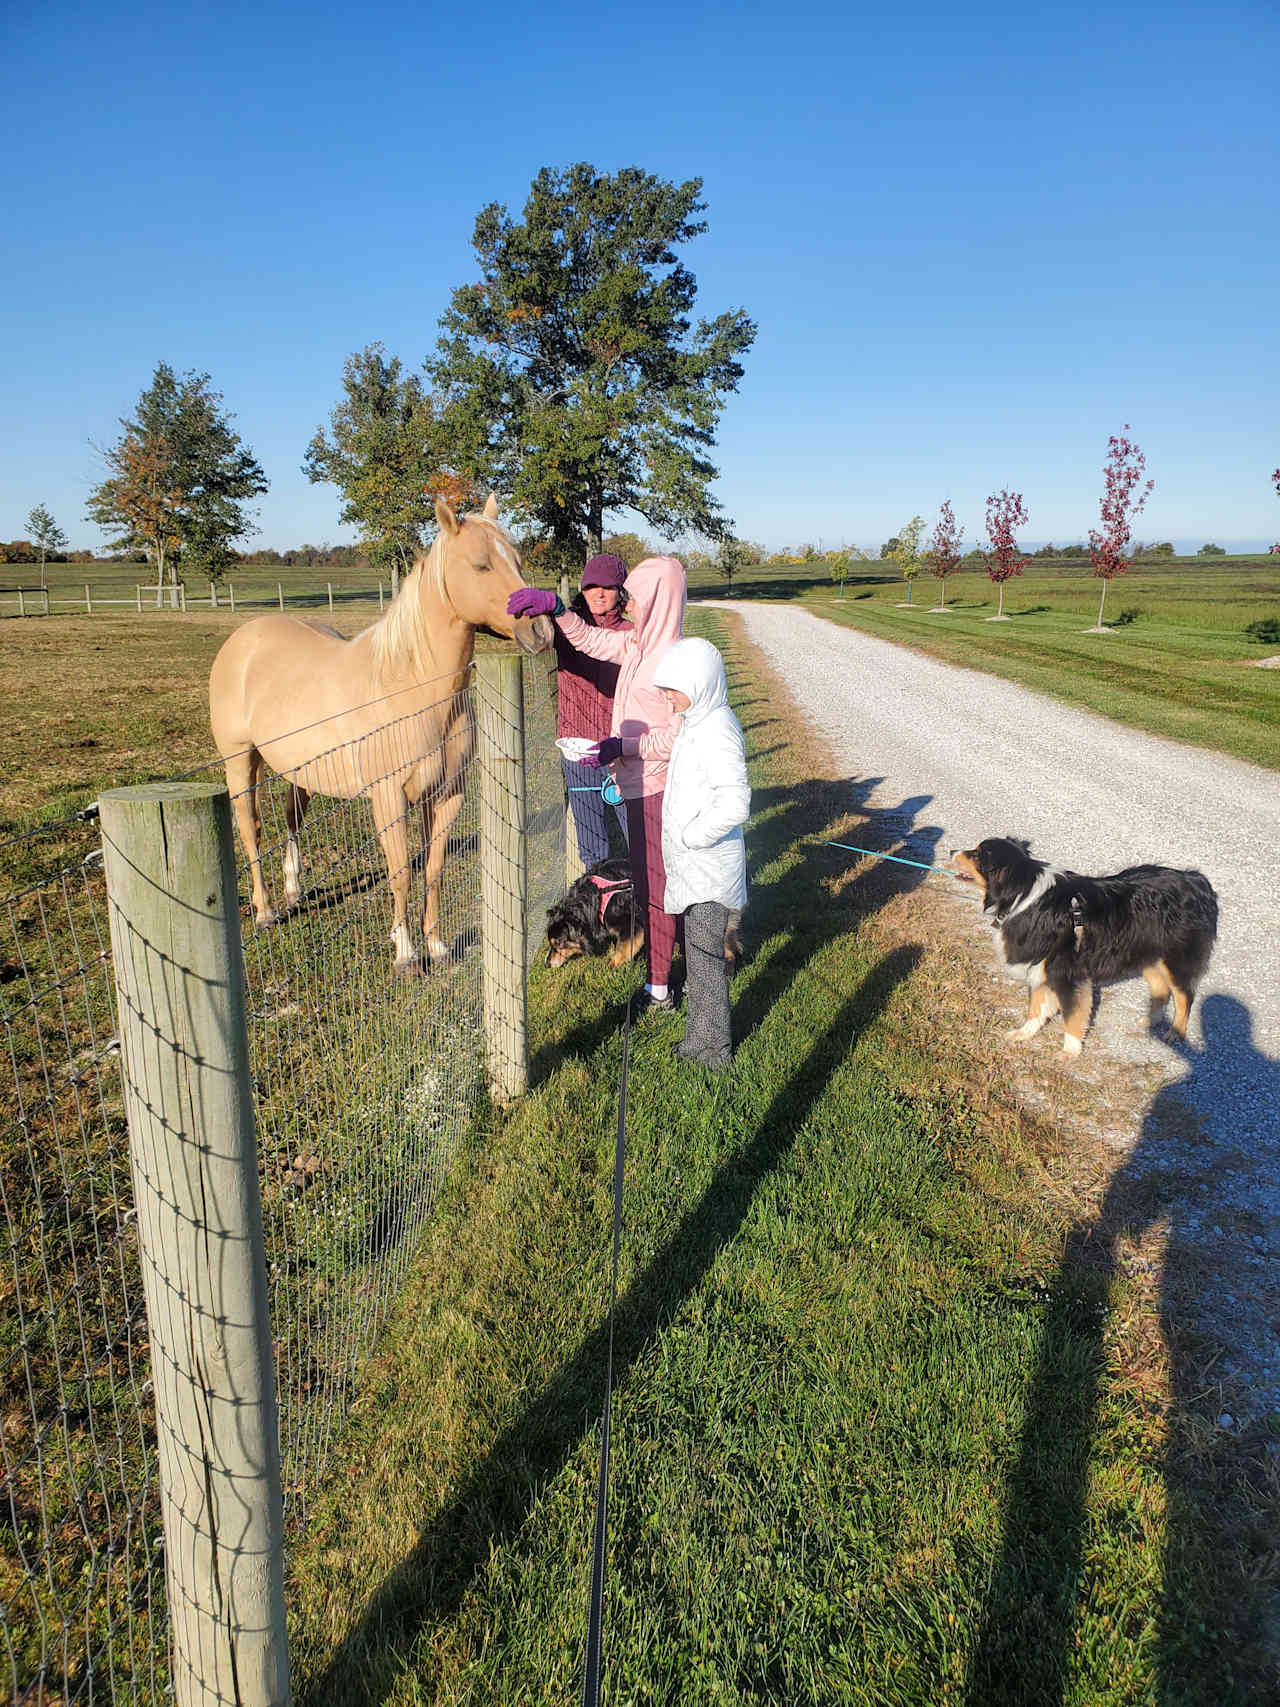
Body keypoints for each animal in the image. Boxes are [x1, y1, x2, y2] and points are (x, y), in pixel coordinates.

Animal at [208, 495, 552, 976]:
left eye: (517, 562)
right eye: (480, 565)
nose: (541, 631)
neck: (411, 687)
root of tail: (243, 638)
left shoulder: (447, 795)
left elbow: (433, 868)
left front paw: (437, 946)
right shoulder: (388, 799)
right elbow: (400, 872)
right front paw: (405, 953)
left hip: (298, 770)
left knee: (292, 820)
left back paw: (294, 892)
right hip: (240, 763)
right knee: (251, 829)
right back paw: (265, 912)